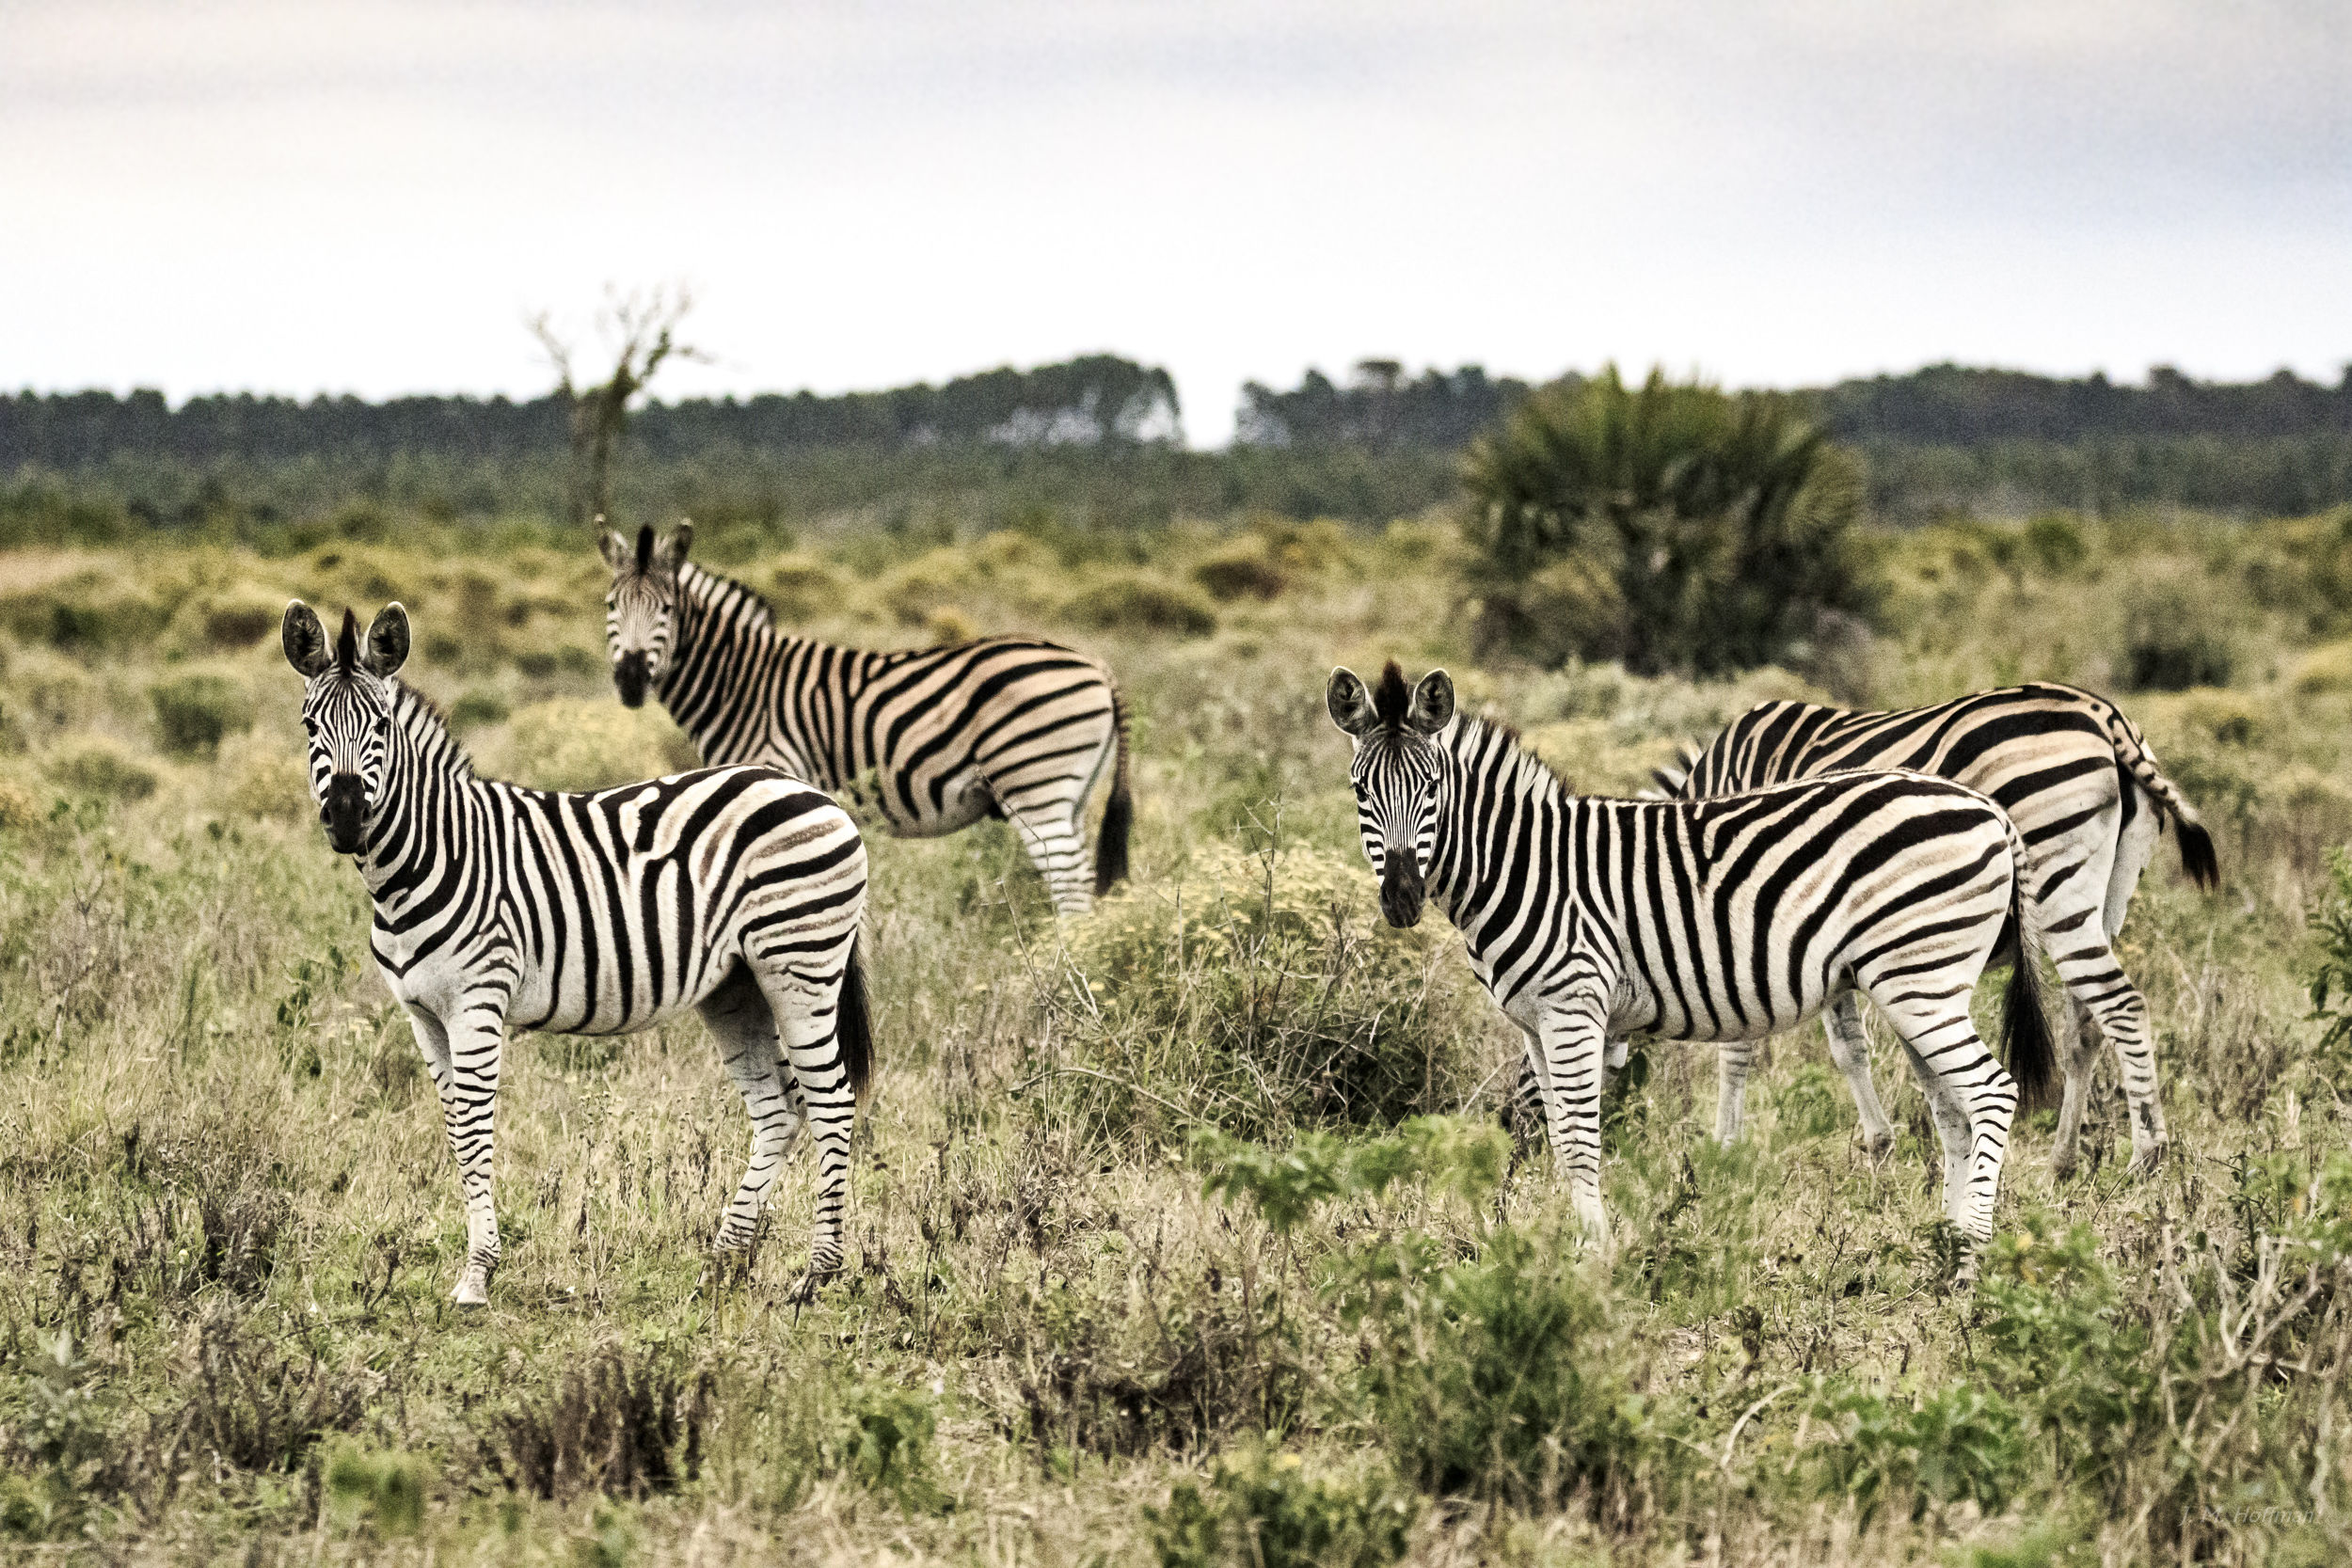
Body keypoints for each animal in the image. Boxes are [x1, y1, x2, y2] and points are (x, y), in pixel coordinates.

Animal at [282, 599, 873, 1306]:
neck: (424, 859)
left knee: (832, 1100)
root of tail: (812, 794)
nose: (345, 817)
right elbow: (455, 1132)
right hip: (736, 986)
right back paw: (722, 1262)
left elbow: (476, 1131)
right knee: (779, 1110)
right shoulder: (422, 1015)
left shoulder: (478, 1001)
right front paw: (476, 1264)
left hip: (801, 963)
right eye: (311, 725)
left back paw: (816, 1274)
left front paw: (478, 1274)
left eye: (380, 725)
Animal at [600, 522, 1131, 917]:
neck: (740, 679)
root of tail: (1096, 664)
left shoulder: (773, 772)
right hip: (1071, 793)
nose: (629, 679)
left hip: (1034, 786)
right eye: (610, 606)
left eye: (667, 608)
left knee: (1069, 884)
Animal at [1329, 662, 2056, 1266]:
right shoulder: (1534, 1022)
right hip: (1918, 985)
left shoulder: (1574, 1008)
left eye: (1431, 787)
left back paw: (1971, 1252)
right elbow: (1559, 1136)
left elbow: (1582, 1139)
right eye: (1360, 789)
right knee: (1952, 1108)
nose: (1401, 898)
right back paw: (1946, 1239)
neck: (1523, 866)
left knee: (1992, 1091)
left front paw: (1593, 1255)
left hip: (1921, 980)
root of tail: (1990, 810)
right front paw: (1572, 1243)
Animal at [1565, 682, 2214, 1180]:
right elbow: (1850, 1047)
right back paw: (2062, 1160)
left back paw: (2148, 1156)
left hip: (2056, 884)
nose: (1532, 1137)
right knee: (2087, 1021)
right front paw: (1880, 1146)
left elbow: (1753, 1042)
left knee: (2122, 1005)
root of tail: (2106, 717)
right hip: (2110, 898)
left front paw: (1727, 1148)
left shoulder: (1754, 919)